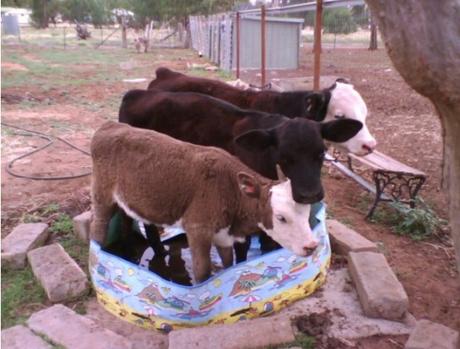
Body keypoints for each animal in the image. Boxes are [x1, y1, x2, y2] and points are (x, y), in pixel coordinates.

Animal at [91, 122, 318, 282]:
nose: (312, 246)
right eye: (281, 217)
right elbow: (203, 273)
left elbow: (228, 264)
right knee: (98, 227)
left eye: (306, 213)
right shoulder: (198, 228)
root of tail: (110, 126)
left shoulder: (224, 235)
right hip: (101, 195)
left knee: (130, 223)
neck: (230, 189)